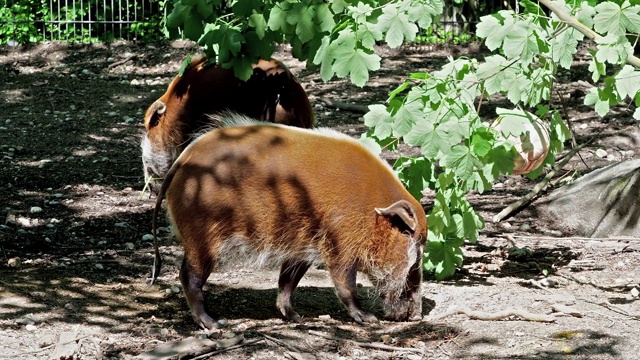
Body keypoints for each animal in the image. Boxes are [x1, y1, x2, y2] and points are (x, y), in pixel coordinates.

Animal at [152, 114, 428, 328]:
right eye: (415, 244)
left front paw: (295, 317)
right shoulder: (340, 244)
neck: (372, 212)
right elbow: (345, 284)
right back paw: (211, 323)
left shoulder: (302, 247)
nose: (417, 316)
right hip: (203, 238)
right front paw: (367, 318)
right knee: (188, 275)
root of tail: (183, 159)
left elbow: (287, 281)